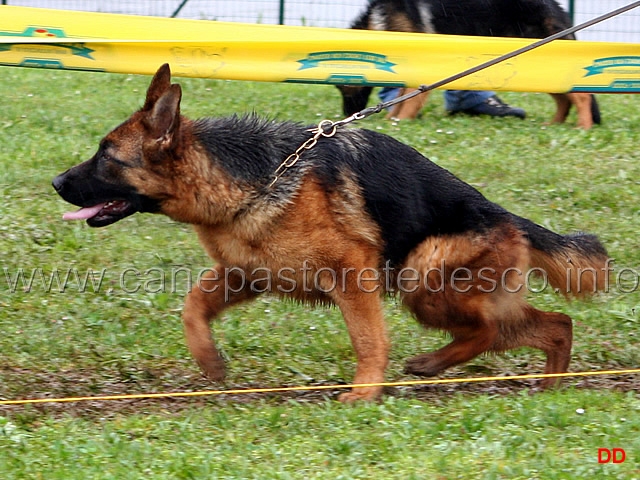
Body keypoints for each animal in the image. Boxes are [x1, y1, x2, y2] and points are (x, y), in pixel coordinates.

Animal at [52, 63, 608, 402]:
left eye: (106, 155)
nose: (55, 183)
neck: (255, 178)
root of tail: (506, 217)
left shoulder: (353, 278)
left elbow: (368, 340)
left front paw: (364, 393)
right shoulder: (243, 274)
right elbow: (192, 308)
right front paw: (210, 365)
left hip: (422, 282)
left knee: (495, 329)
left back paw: (434, 364)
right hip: (446, 292)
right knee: (554, 324)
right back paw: (543, 385)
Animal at [340, 0, 600, 129]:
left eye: (342, 86)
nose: (346, 114)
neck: (378, 24)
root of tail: (557, 7)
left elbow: (409, 100)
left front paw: (399, 122)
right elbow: (401, 98)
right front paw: (392, 119)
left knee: (582, 95)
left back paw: (583, 126)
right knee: (565, 99)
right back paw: (555, 124)